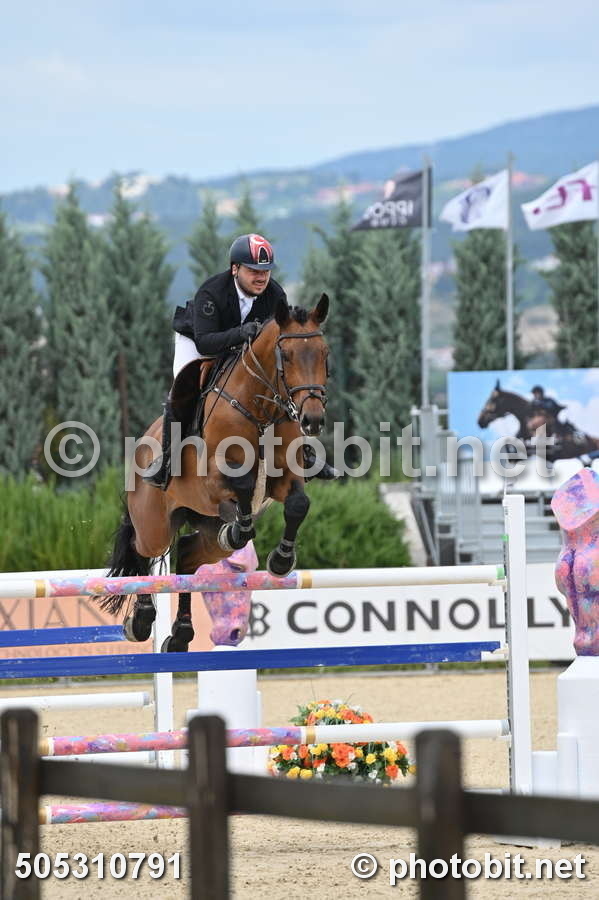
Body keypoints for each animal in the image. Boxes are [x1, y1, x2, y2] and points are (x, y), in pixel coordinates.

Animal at [99, 294, 330, 651]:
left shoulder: (286, 480)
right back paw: (141, 621)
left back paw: (180, 634)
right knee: (142, 552)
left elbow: (297, 505)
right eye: (287, 356)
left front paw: (281, 560)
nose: (313, 420)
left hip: (206, 531)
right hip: (155, 523)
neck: (262, 408)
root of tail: (142, 446)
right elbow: (243, 485)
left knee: (187, 555)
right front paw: (240, 528)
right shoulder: (212, 483)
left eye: (324, 354)